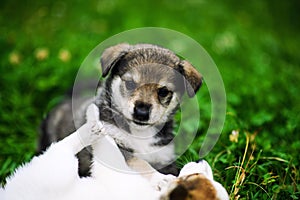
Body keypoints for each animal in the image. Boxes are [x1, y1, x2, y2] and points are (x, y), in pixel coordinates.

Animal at [1, 104, 229, 200]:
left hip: (56, 168)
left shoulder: (118, 176)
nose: (201, 162)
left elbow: (111, 150)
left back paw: (92, 119)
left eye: (193, 177)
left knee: (64, 147)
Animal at [38, 43, 203, 176]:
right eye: (130, 84)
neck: (140, 134)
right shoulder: (114, 146)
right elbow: (140, 162)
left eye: (163, 92)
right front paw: (160, 180)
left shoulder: (165, 157)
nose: (141, 113)